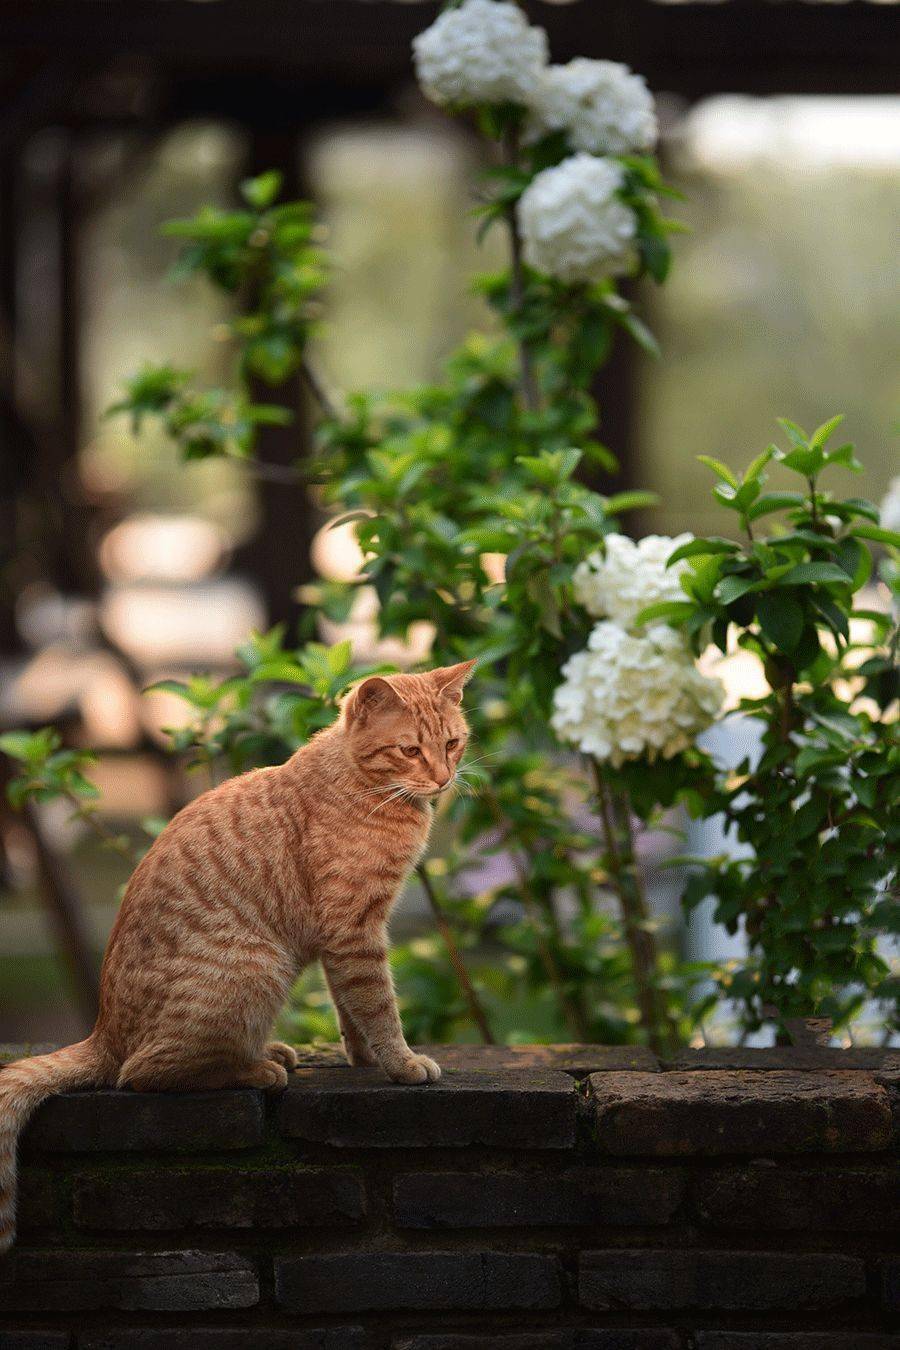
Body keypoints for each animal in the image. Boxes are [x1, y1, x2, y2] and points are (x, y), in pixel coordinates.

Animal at [0, 658, 477, 1247]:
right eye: (411, 750)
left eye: (452, 743)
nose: (443, 778)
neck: (361, 783)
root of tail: (103, 1032)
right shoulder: (354, 929)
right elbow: (377, 1005)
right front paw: (402, 1062)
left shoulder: (344, 937)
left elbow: (348, 1007)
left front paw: (364, 1058)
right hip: (257, 967)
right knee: (142, 1074)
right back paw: (257, 1070)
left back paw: (265, 1053)